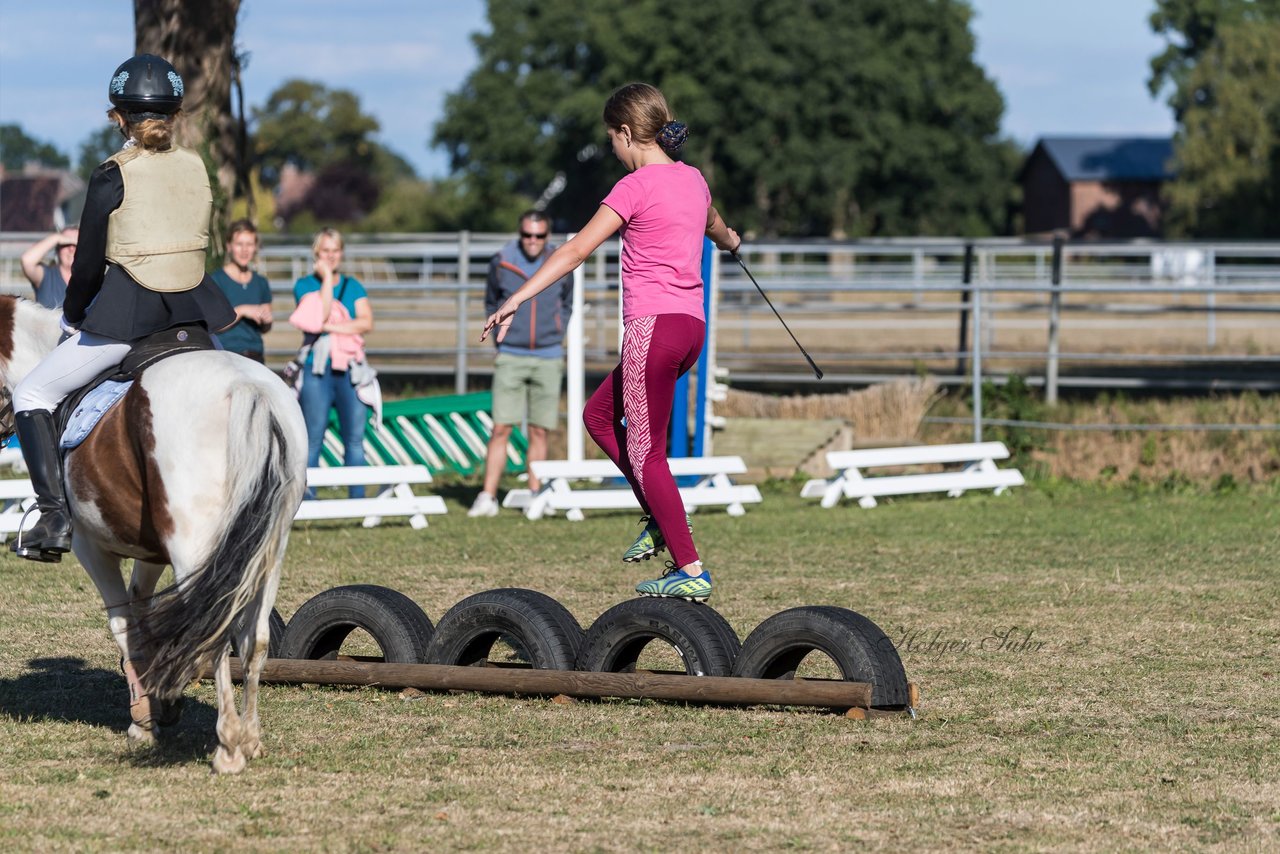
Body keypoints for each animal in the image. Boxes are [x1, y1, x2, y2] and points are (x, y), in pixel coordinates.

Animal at [0, 299, 307, 773]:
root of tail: (248, 388)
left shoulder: (92, 547)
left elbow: (123, 625)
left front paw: (144, 721)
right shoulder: (151, 554)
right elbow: (144, 619)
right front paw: (161, 704)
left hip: (196, 549)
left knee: (213, 630)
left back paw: (228, 747)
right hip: (267, 549)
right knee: (252, 639)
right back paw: (251, 739)